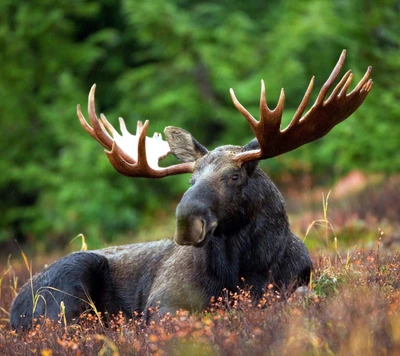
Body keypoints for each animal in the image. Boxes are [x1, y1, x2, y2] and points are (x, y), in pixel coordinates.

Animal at [9, 49, 372, 328]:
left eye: (234, 176)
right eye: (190, 180)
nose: (186, 222)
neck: (247, 269)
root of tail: (13, 308)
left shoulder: (297, 283)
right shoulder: (163, 302)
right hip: (67, 285)